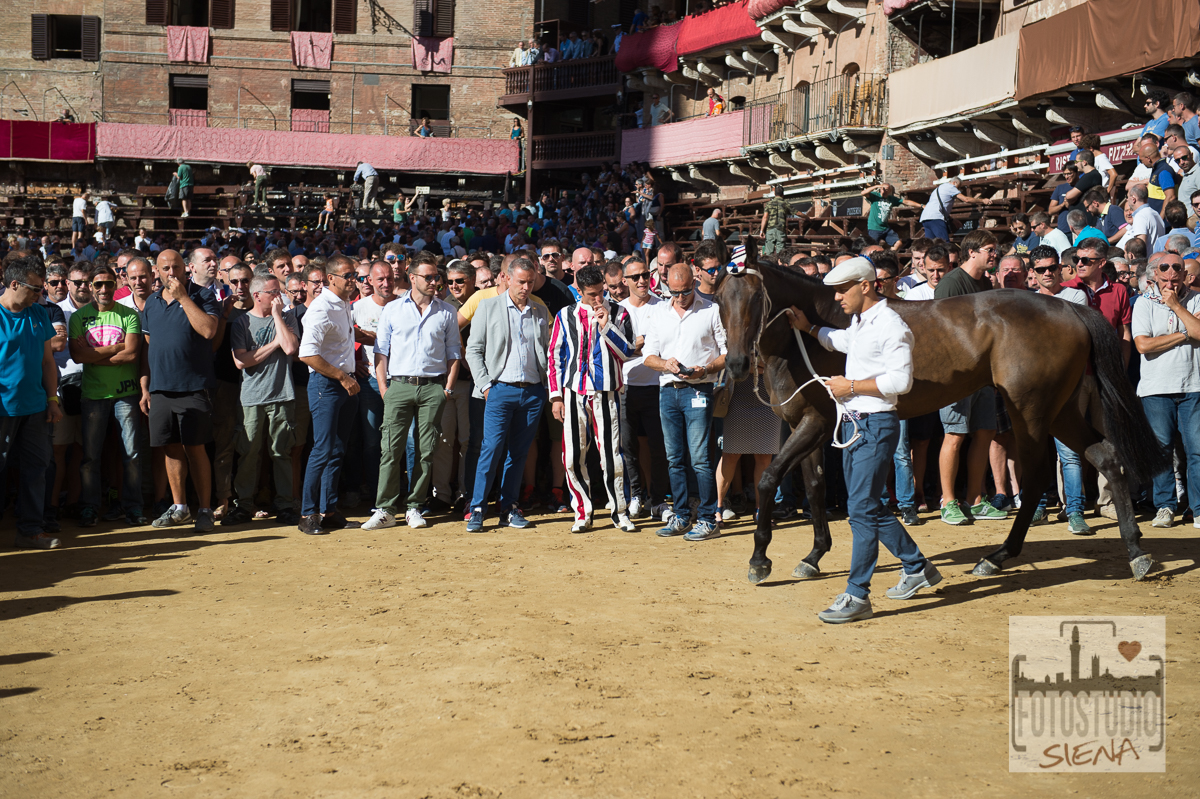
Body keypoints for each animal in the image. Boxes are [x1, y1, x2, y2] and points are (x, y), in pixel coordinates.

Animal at [715, 239, 1166, 583]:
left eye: (755, 299)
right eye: (719, 299)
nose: (736, 364)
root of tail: (1069, 307)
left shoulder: (818, 422)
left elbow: (768, 479)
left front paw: (760, 560)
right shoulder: (809, 424)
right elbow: (814, 486)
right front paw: (813, 556)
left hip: (1030, 411)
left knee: (1037, 476)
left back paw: (998, 556)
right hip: (1059, 409)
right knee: (1105, 456)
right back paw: (1135, 550)